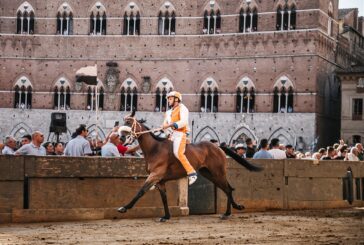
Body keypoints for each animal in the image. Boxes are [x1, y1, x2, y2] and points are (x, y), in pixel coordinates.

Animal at [118, 112, 264, 221]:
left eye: (129, 123)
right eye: (123, 122)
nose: (121, 138)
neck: (155, 148)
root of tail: (217, 146)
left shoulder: (155, 175)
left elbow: (141, 191)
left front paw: (124, 207)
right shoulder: (160, 180)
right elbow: (164, 198)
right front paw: (166, 216)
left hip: (218, 172)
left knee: (228, 189)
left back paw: (228, 213)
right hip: (209, 174)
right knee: (227, 188)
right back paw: (234, 208)